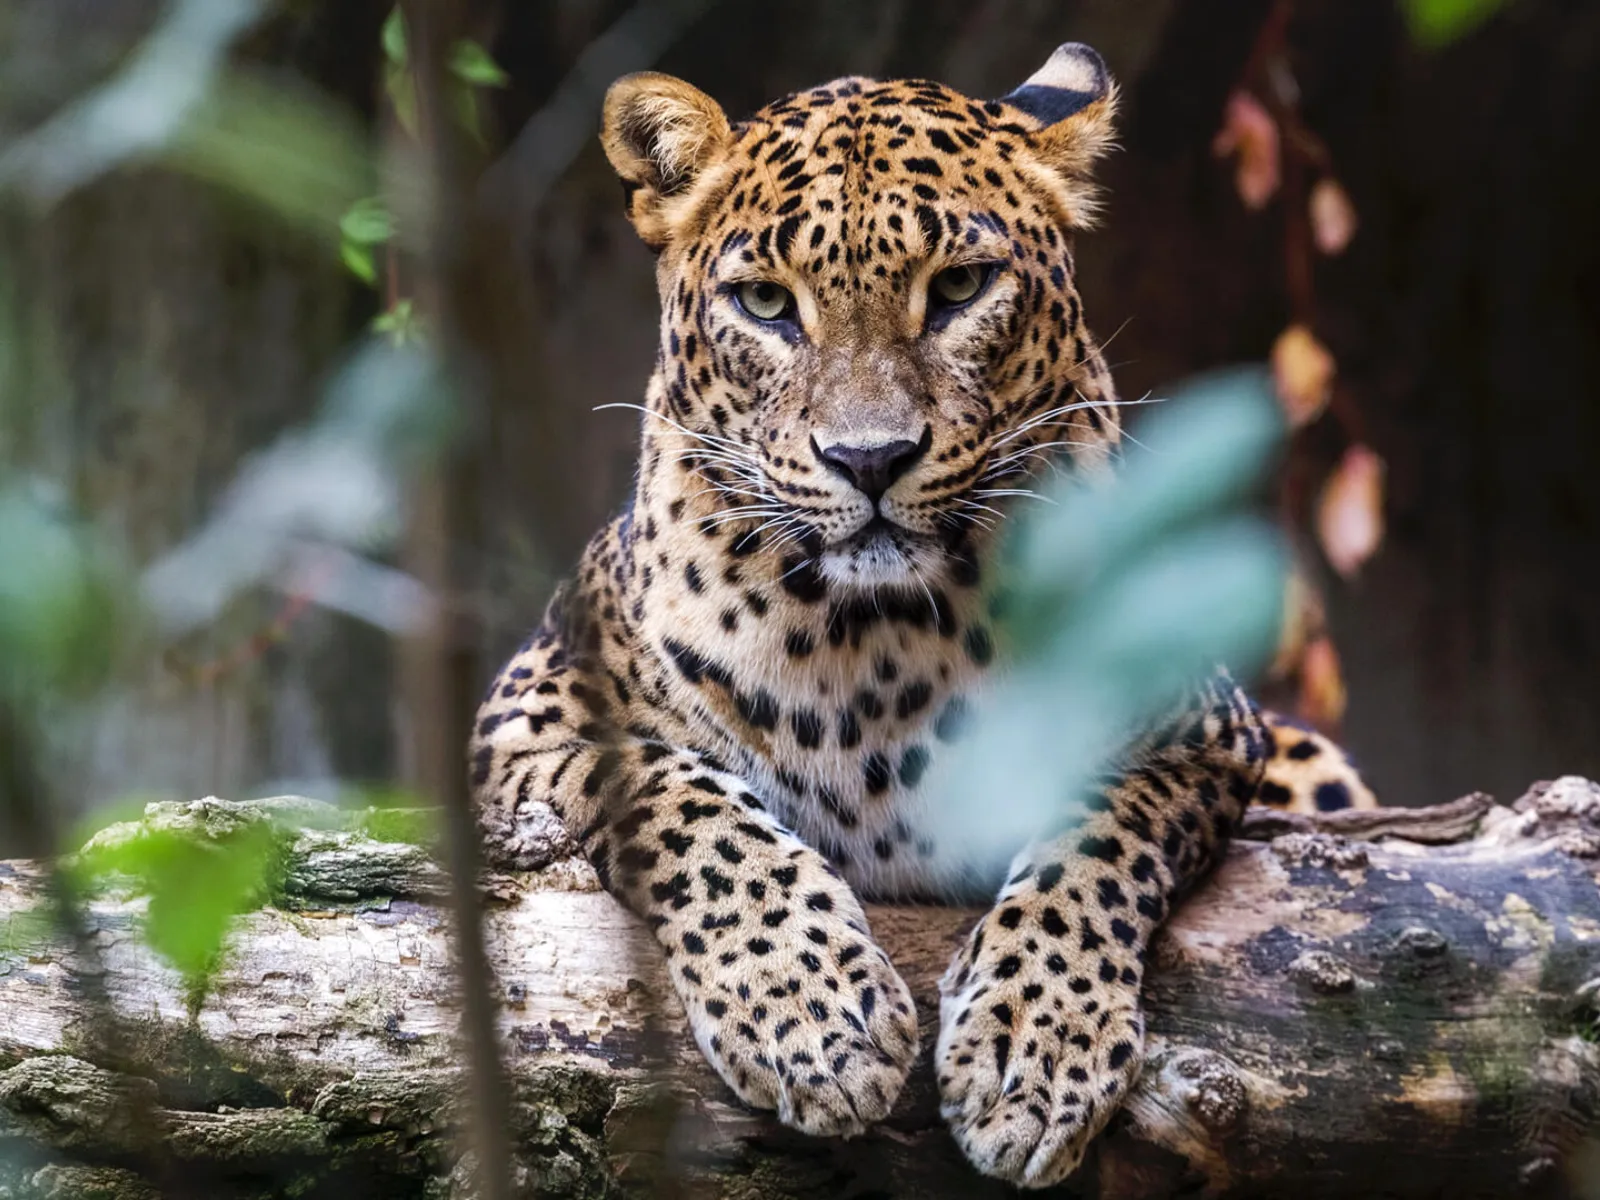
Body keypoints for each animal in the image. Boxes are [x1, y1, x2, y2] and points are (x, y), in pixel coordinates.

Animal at [471, 42, 1376, 1189]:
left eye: (957, 287)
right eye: (765, 303)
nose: (870, 460)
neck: (876, 639)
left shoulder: (1202, 729)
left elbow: (1094, 836)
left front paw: (1034, 1051)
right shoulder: (526, 719)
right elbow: (689, 805)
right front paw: (814, 1018)